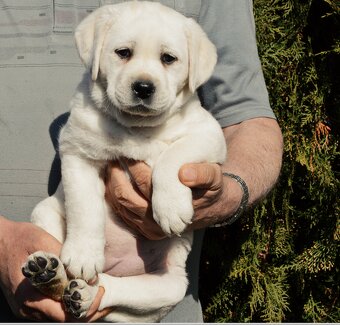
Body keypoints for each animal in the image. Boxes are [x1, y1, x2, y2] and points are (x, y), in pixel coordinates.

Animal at [22, 1, 227, 322]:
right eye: (123, 53)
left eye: (168, 59)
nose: (143, 87)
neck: (136, 129)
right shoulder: (77, 152)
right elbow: (85, 208)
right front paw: (83, 253)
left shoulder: (209, 136)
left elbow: (172, 155)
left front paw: (170, 207)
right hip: (44, 213)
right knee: (71, 279)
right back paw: (47, 271)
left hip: (168, 287)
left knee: (110, 289)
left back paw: (84, 294)